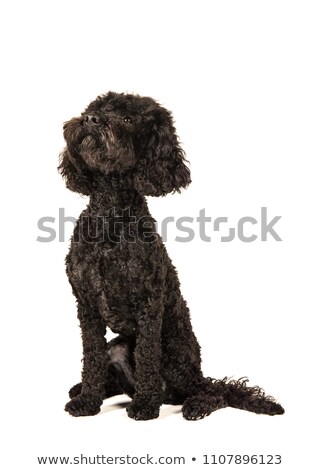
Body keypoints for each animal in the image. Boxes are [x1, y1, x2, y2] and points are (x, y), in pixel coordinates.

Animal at [58, 91, 282, 418]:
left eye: (128, 119)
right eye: (94, 109)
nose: (91, 120)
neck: (110, 216)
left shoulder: (149, 303)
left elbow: (147, 355)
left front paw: (145, 405)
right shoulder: (86, 304)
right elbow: (92, 357)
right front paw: (87, 399)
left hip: (177, 355)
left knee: (210, 391)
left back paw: (193, 404)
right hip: (118, 346)